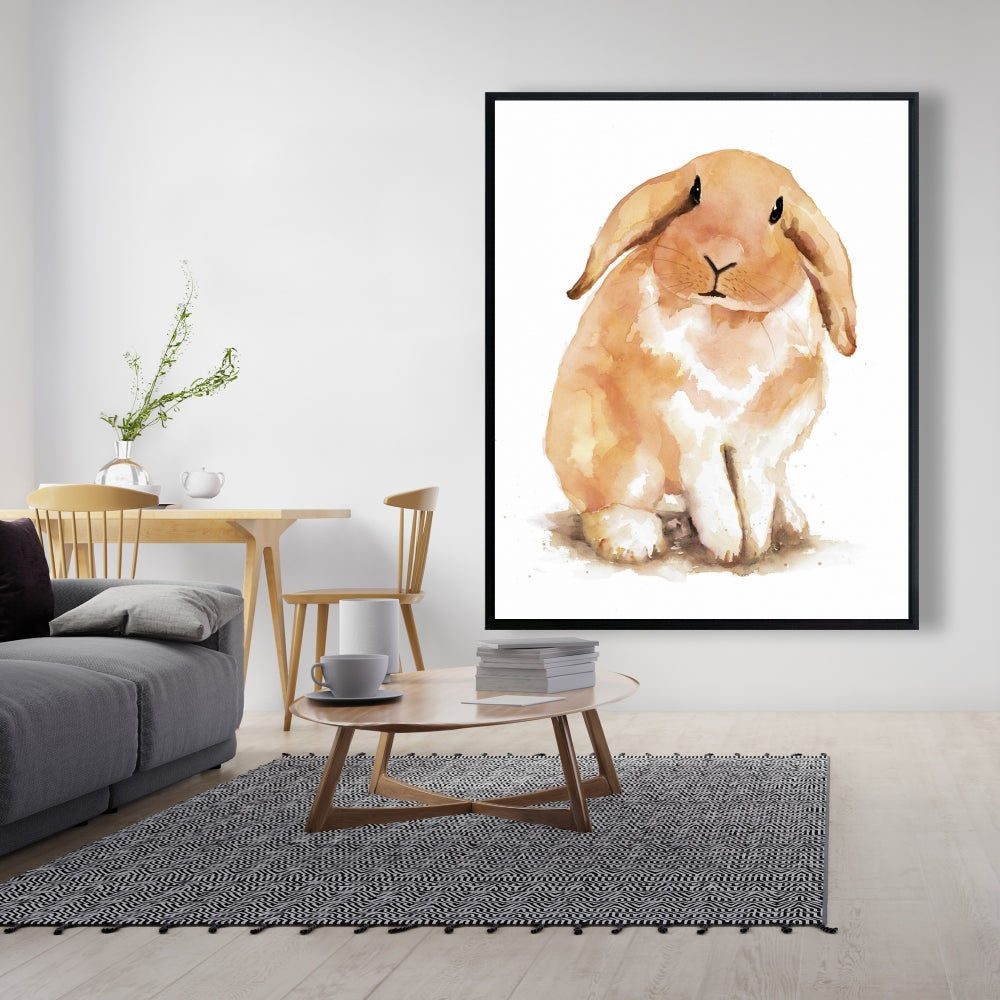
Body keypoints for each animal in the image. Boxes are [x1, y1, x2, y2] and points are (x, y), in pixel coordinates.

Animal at [545, 149, 856, 565]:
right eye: (694, 193)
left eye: (777, 211)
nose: (720, 259)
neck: (727, 318)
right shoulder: (689, 428)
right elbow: (715, 490)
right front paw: (729, 548)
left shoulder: (768, 437)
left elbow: (753, 490)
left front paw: (755, 546)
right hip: (608, 447)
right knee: (610, 500)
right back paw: (633, 539)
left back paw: (789, 520)